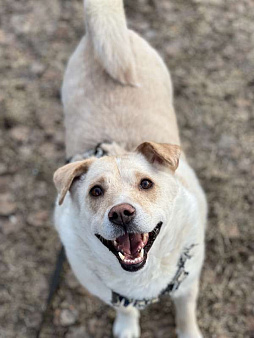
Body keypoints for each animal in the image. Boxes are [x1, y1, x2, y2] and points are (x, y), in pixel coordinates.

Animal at [53, 1, 206, 336]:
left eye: (146, 183)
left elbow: (186, 312)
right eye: (96, 191)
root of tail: (94, 32)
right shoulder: (110, 292)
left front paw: (189, 332)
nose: (121, 213)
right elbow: (124, 308)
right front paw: (127, 326)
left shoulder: (188, 281)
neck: (140, 278)